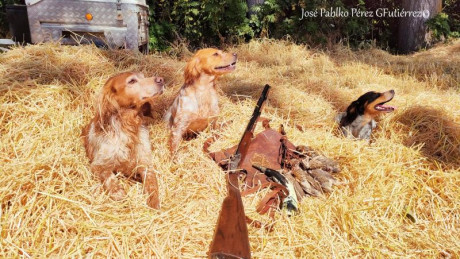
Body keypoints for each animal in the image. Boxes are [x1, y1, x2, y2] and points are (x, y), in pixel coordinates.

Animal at [82, 72, 165, 210]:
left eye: (143, 76)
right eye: (132, 81)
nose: (161, 79)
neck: (128, 127)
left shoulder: (145, 162)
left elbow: (151, 181)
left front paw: (154, 201)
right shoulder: (98, 165)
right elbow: (108, 176)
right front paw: (119, 193)